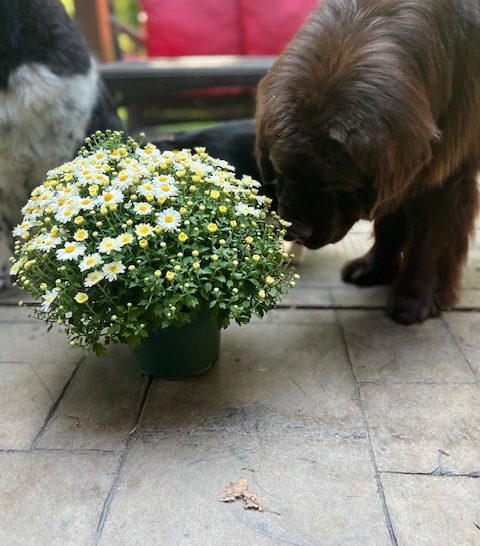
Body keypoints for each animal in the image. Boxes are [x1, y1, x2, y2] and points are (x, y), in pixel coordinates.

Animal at [256, 0, 478, 324]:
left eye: (335, 186)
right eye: (282, 172)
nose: (298, 229)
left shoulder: (446, 176)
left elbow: (428, 244)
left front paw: (415, 298)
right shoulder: (405, 174)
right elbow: (390, 223)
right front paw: (375, 269)